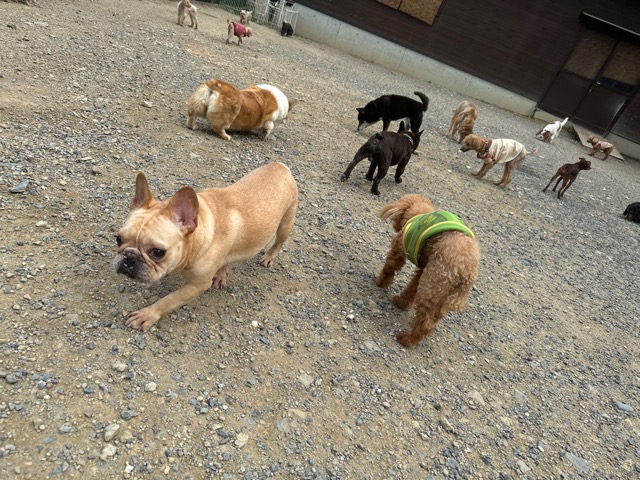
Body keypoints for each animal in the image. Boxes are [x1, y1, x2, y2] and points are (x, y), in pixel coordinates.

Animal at [114, 163, 298, 331]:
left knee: (278, 242)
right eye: (118, 239)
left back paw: (269, 257)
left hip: (285, 225)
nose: (129, 258)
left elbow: (169, 300)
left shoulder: (198, 285)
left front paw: (147, 314)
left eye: (158, 252)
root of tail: (281, 166)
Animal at [376, 194, 480, 348]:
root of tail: (467, 272)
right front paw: (401, 302)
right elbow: (411, 289)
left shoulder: (399, 248)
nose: (395, 225)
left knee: (425, 323)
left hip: (432, 285)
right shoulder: (423, 270)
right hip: (440, 292)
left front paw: (381, 282)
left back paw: (406, 339)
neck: (418, 214)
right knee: (433, 320)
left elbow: (390, 267)